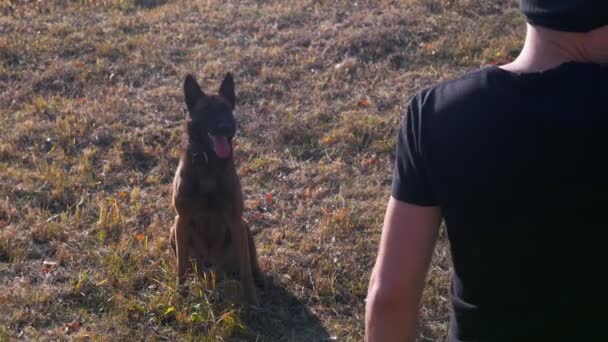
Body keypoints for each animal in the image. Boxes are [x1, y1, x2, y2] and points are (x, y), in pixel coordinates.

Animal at [169, 71, 262, 304]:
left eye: (226, 109)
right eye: (206, 111)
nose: (225, 127)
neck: (209, 164)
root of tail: (213, 265)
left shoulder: (235, 219)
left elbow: (246, 269)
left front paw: (251, 299)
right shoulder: (182, 219)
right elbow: (180, 266)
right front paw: (179, 294)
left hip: (245, 228)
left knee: (252, 264)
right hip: (174, 229)